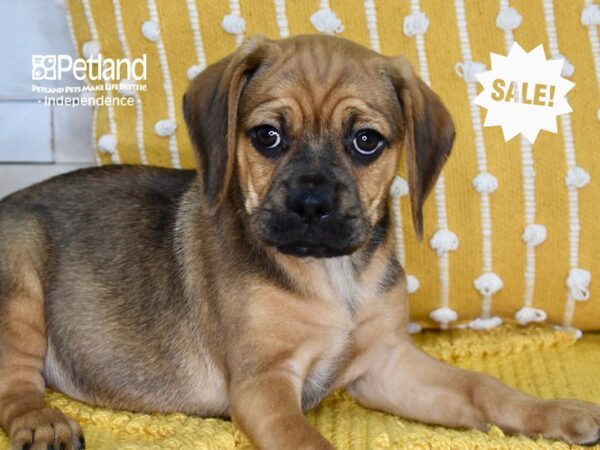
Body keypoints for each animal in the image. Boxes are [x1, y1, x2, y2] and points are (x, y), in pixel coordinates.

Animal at [1, 35, 600, 450]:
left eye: (366, 142)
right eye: (268, 136)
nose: (311, 205)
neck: (332, 277)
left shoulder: (387, 365)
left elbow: (483, 389)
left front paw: (556, 414)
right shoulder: (264, 385)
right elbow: (309, 442)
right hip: (21, 277)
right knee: (16, 385)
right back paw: (44, 422)